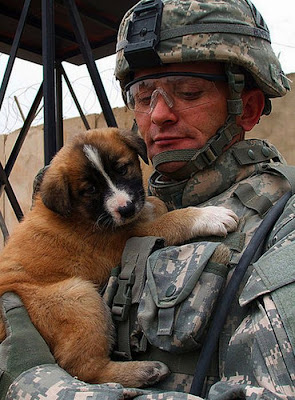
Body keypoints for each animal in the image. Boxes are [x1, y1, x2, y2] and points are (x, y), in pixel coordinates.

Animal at [0, 127, 238, 388]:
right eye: (90, 189)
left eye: (122, 169)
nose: (126, 209)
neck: (81, 213)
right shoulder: (125, 239)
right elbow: (171, 221)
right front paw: (208, 216)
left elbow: (155, 203)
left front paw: (154, 207)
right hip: (78, 297)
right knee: (83, 370)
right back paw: (144, 371)